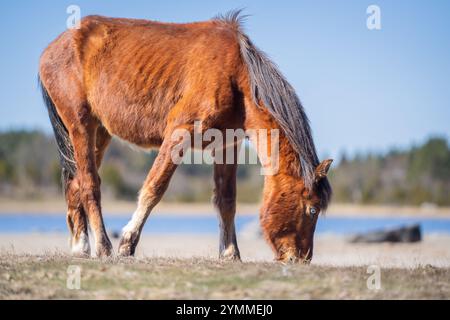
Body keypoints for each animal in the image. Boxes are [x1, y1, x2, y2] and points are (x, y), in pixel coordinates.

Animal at [37, 10, 330, 262]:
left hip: (99, 132)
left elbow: (226, 200)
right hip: (81, 125)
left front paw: (230, 253)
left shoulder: (227, 145)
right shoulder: (179, 133)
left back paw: (80, 247)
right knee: (89, 184)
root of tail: (53, 48)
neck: (236, 76)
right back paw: (103, 247)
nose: (301, 259)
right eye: (312, 209)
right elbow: (153, 188)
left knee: (75, 182)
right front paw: (127, 244)